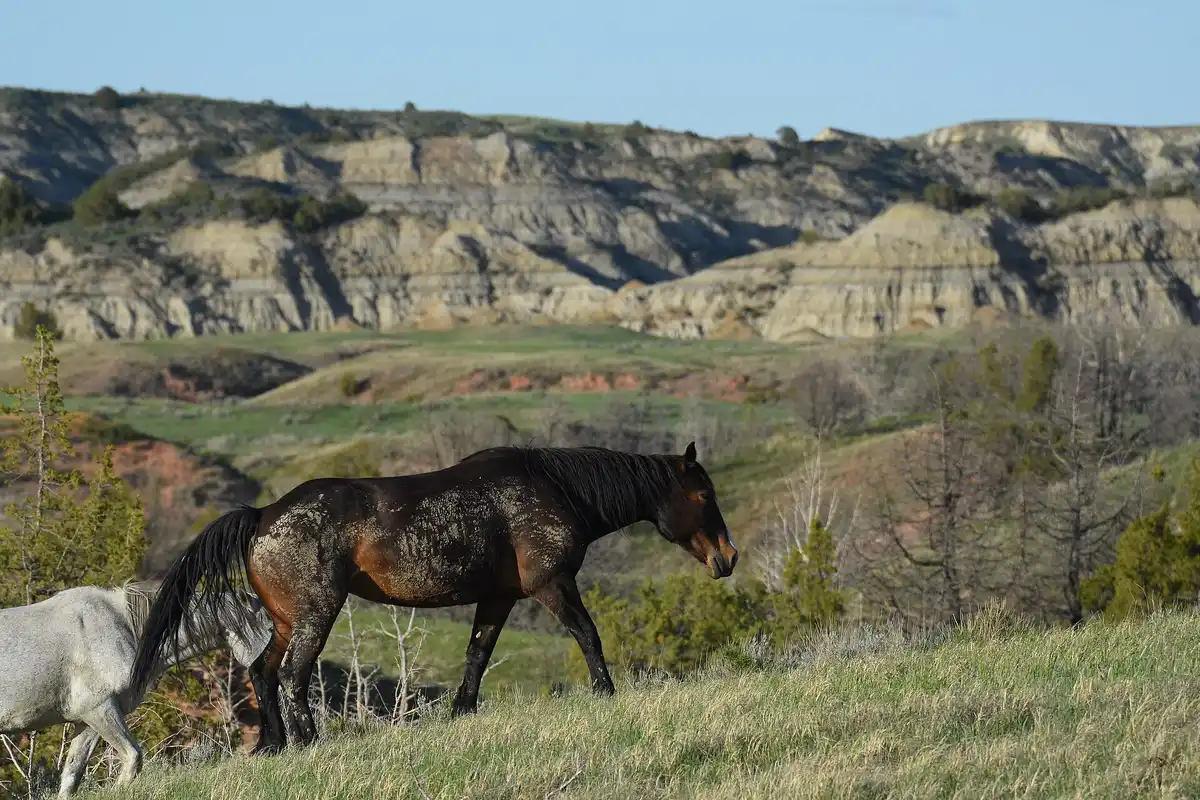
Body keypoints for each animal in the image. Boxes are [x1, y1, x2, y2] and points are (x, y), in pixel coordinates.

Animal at [0, 581, 274, 797]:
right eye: (271, 626)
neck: (120, 627)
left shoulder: (87, 720)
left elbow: (71, 775)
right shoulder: (100, 709)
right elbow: (133, 757)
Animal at [130, 442, 739, 751]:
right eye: (701, 495)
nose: (727, 558)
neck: (552, 488)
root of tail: (261, 516)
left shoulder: (499, 598)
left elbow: (478, 653)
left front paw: (462, 711)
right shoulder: (551, 585)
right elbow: (587, 634)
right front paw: (606, 693)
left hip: (286, 619)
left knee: (263, 671)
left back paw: (275, 743)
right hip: (314, 615)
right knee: (293, 673)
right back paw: (308, 740)